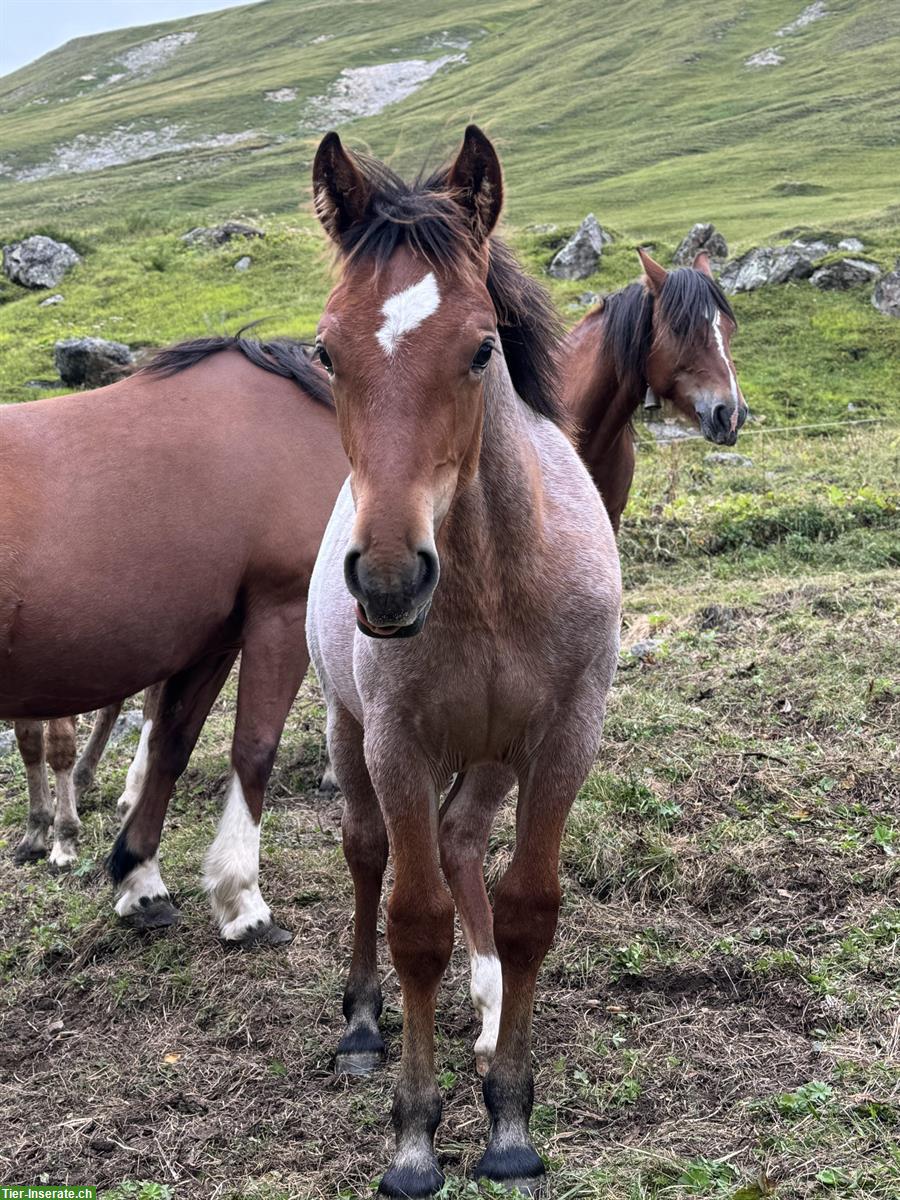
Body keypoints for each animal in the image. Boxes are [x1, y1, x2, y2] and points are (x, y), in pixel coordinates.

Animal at [0, 340, 348, 945]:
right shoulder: (279, 614)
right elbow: (254, 749)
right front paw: (243, 900)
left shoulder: (213, 640)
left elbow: (170, 745)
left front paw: (140, 880)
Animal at [307, 126, 624, 1195]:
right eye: (326, 351)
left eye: (482, 349)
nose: (389, 578)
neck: (491, 585)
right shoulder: (398, 743)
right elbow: (413, 923)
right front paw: (413, 1136)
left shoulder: (563, 739)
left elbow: (529, 909)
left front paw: (510, 1117)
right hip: (350, 733)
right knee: (372, 853)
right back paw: (364, 1023)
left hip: (489, 756)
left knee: (459, 841)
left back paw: (487, 1016)